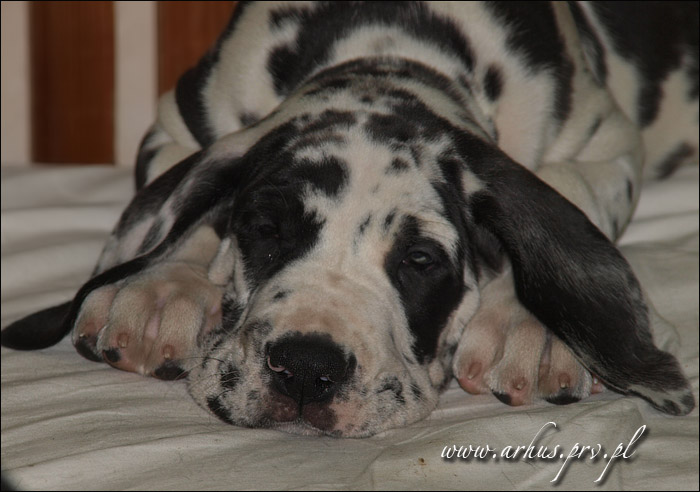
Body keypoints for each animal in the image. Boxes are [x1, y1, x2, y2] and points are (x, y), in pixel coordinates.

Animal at [2, 1, 697, 437]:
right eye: (265, 229)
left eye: (420, 261)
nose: (307, 368)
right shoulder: (177, 123)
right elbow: (184, 214)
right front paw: (159, 288)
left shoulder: (607, 146)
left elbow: (565, 187)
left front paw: (528, 325)